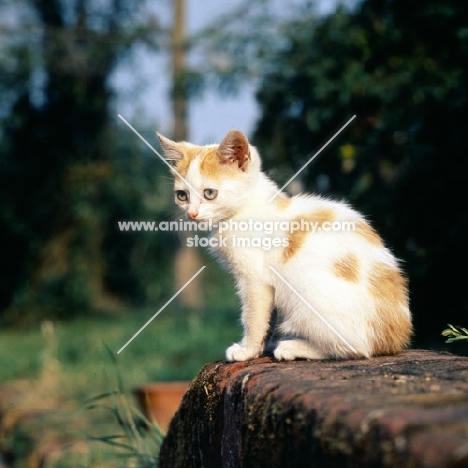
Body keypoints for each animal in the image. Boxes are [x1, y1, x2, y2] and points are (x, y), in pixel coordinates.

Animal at [158, 130, 414, 360]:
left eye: (210, 193)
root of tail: (393, 339)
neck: (246, 209)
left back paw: (294, 347)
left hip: (308, 291)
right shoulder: (269, 284)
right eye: (182, 195)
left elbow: (253, 316)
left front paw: (247, 350)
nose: (192, 214)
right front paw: (262, 346)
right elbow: (269, 317)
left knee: (356, 348)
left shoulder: (255, 279)